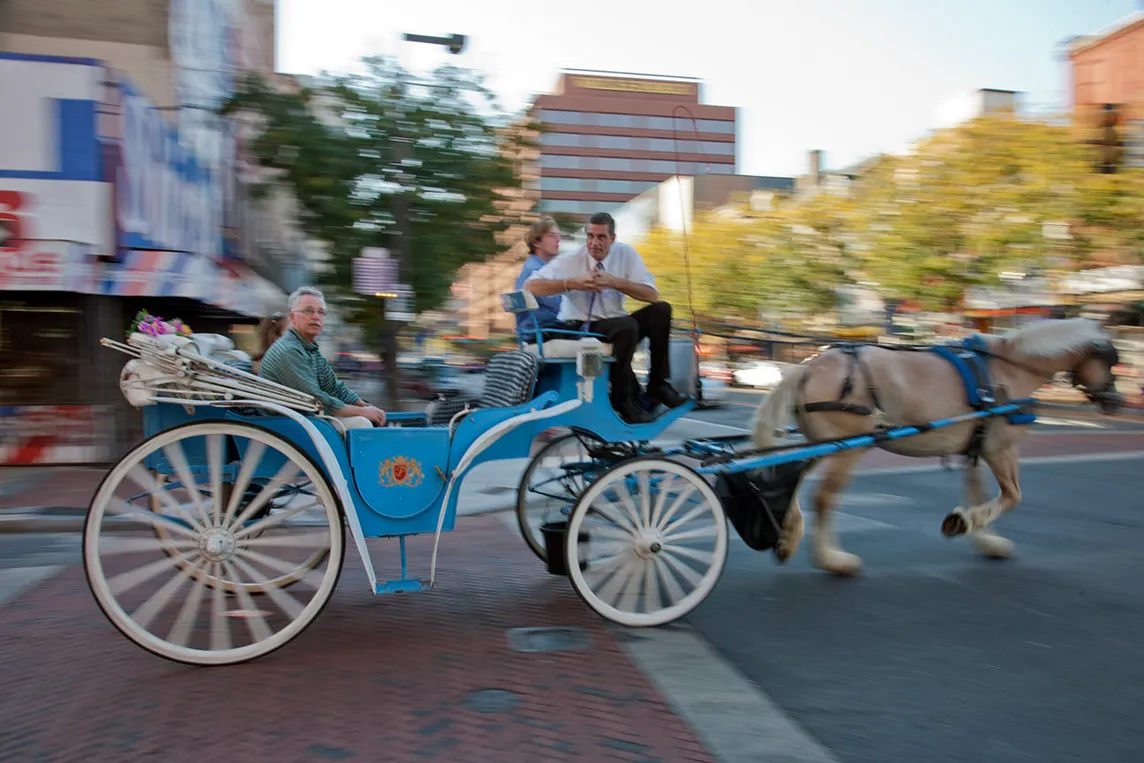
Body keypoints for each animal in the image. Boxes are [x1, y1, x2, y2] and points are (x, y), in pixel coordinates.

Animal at [745, 315, 1121, 571]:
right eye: (1111, 359)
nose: (1116, 402)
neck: (1010, 371)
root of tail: (808, 366)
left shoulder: (975, 448)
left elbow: (978, 492)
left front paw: (983, 537)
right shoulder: (1000, 449)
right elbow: (1012, 496)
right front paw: (964, 523)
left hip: (827, 443)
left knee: (796, 476)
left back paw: (789, 537)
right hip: (848, 447)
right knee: (823, 497)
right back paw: (833, 560)